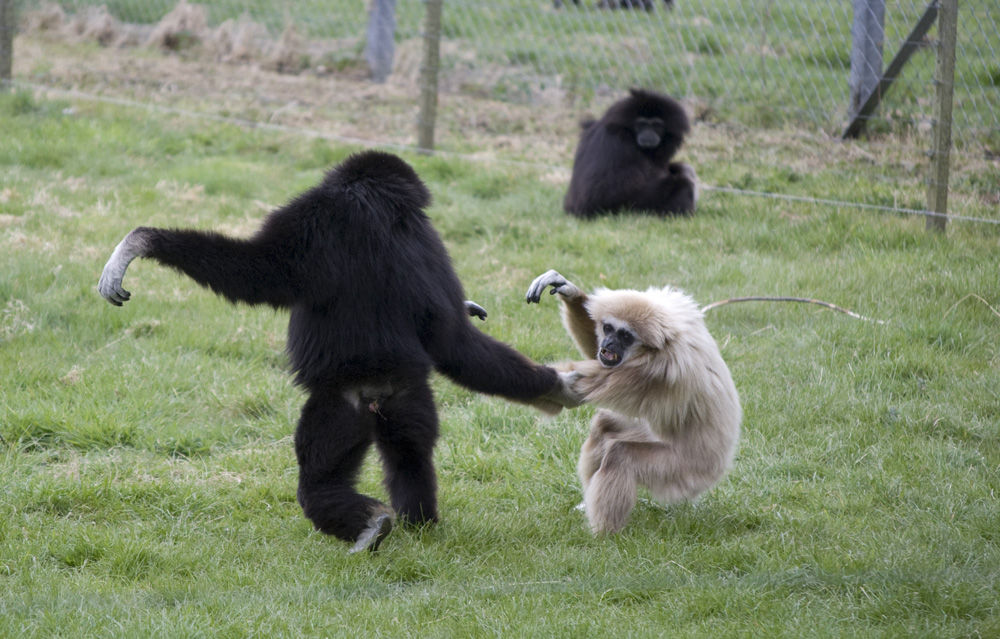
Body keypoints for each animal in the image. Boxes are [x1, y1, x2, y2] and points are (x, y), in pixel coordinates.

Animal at [98, 150, 582, 552]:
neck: (379, 212)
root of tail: (376, 389)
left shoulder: (314, 215)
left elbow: (257, 271)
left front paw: (139, 243)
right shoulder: (430, 241)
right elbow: (452, 339)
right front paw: (554, 386)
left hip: (338, 408)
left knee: (318, 483)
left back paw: (371, 524)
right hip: (408, 398)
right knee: (410, 455)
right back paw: (417, 525)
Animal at [526, 270, 741, 534]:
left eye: (625, 336)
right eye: (608, 328)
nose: (607, 345)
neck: (665, 344)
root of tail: (719, 465)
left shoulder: (654, 371)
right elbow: (592, 353)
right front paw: (569, 291)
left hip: (681, 472)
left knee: (620, 454)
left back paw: (602, 534)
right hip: (650, 437)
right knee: (604, 426)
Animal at [563, 88, 697, 218]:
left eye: (656, 125)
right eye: (641, 124)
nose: (648, 133)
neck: (627, 132)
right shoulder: (616, 143)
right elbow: (597, 195)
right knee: (682, 185)